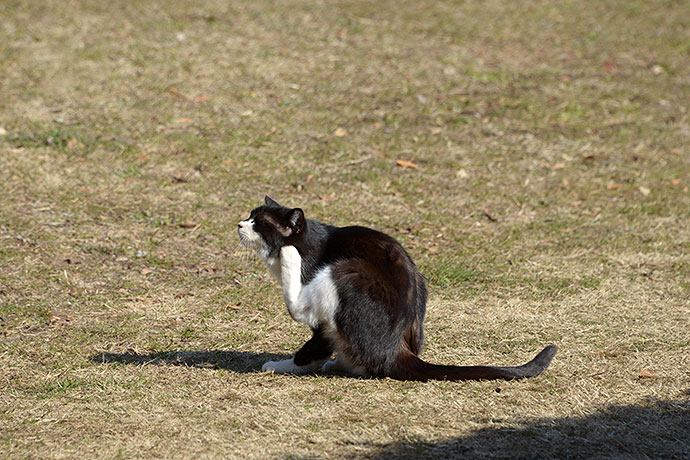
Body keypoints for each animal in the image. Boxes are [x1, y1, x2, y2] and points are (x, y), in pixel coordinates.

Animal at [236, 197, 552, 380]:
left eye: (259, 223)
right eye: (250, 215)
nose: (239, 223)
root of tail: (396, 351)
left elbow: (312, 341)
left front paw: (284, 364)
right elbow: (319, 344)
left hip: (347, 271)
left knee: (299, 307)